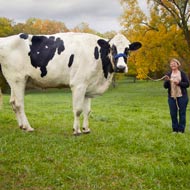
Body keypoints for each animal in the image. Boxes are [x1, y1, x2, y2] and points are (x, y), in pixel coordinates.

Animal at [0, 32, 141, 135]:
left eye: (128, 49)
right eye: (112, 48)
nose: (121, 68)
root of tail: (5, 39)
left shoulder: (88, 86)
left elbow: (87, 110)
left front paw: (86, 129)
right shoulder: (78, 85)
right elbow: (78, 109)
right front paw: (76, 130)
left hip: (17, 81)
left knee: (13, 102)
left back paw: (21, 126)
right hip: (17, 79)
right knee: (19, 104)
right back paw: (28, 127)